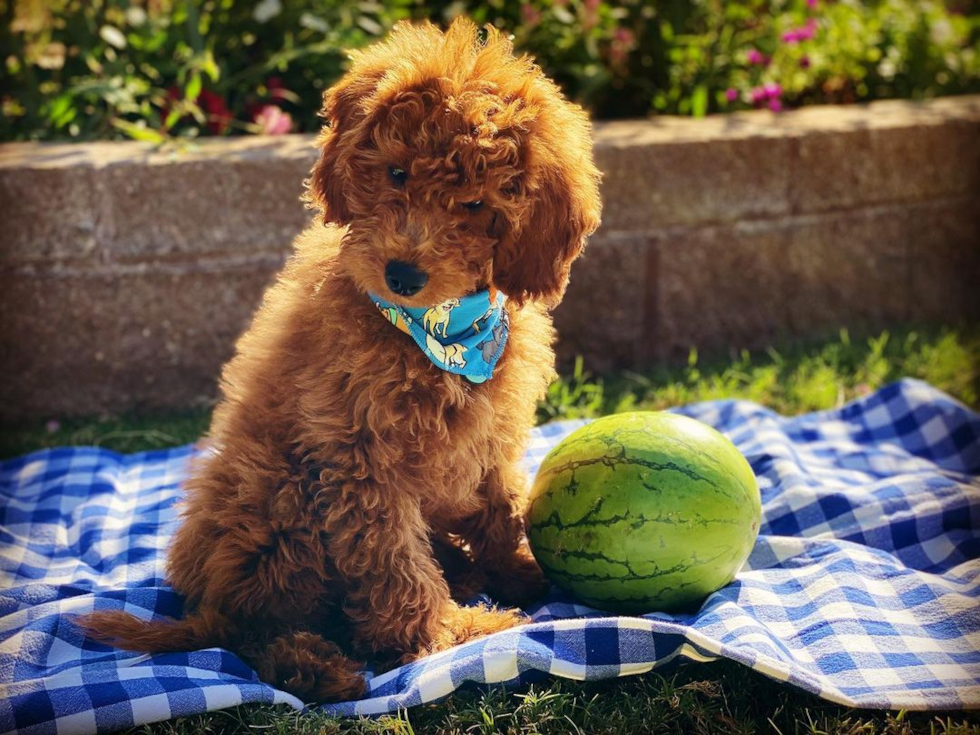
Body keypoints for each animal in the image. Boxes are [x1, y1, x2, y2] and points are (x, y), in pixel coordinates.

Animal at [84, 18, 600, 700]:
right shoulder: (358, 455)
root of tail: (206, 605)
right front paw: (442, 636)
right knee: (257, 632)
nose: (402, 274)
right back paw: (325, 664)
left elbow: (500, 503)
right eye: (397, 174)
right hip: (279, 494)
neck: (437, 336)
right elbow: (392, 557)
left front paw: (516, 571)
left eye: (473, 205)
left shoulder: (487, 434)